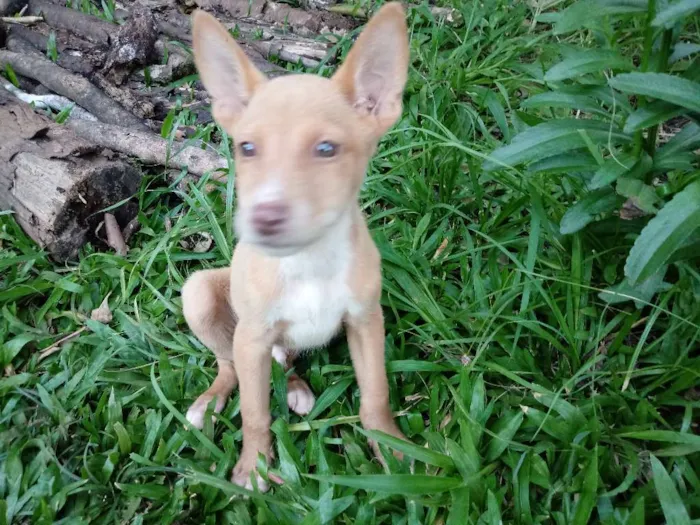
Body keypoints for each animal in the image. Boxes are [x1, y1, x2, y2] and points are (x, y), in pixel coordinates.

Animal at [182, 2, 410, 490]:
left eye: (326, 149)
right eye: (247, 148)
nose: (264, 218)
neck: (308, 262)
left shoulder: (366, 321)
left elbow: (376, 394)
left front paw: (394, 451)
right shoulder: (251, 337)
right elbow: (254, 413)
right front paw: (255, 468)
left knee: (284, 361)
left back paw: (298, 390)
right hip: (200, 296)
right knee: (228, 364)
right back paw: (209, 402)